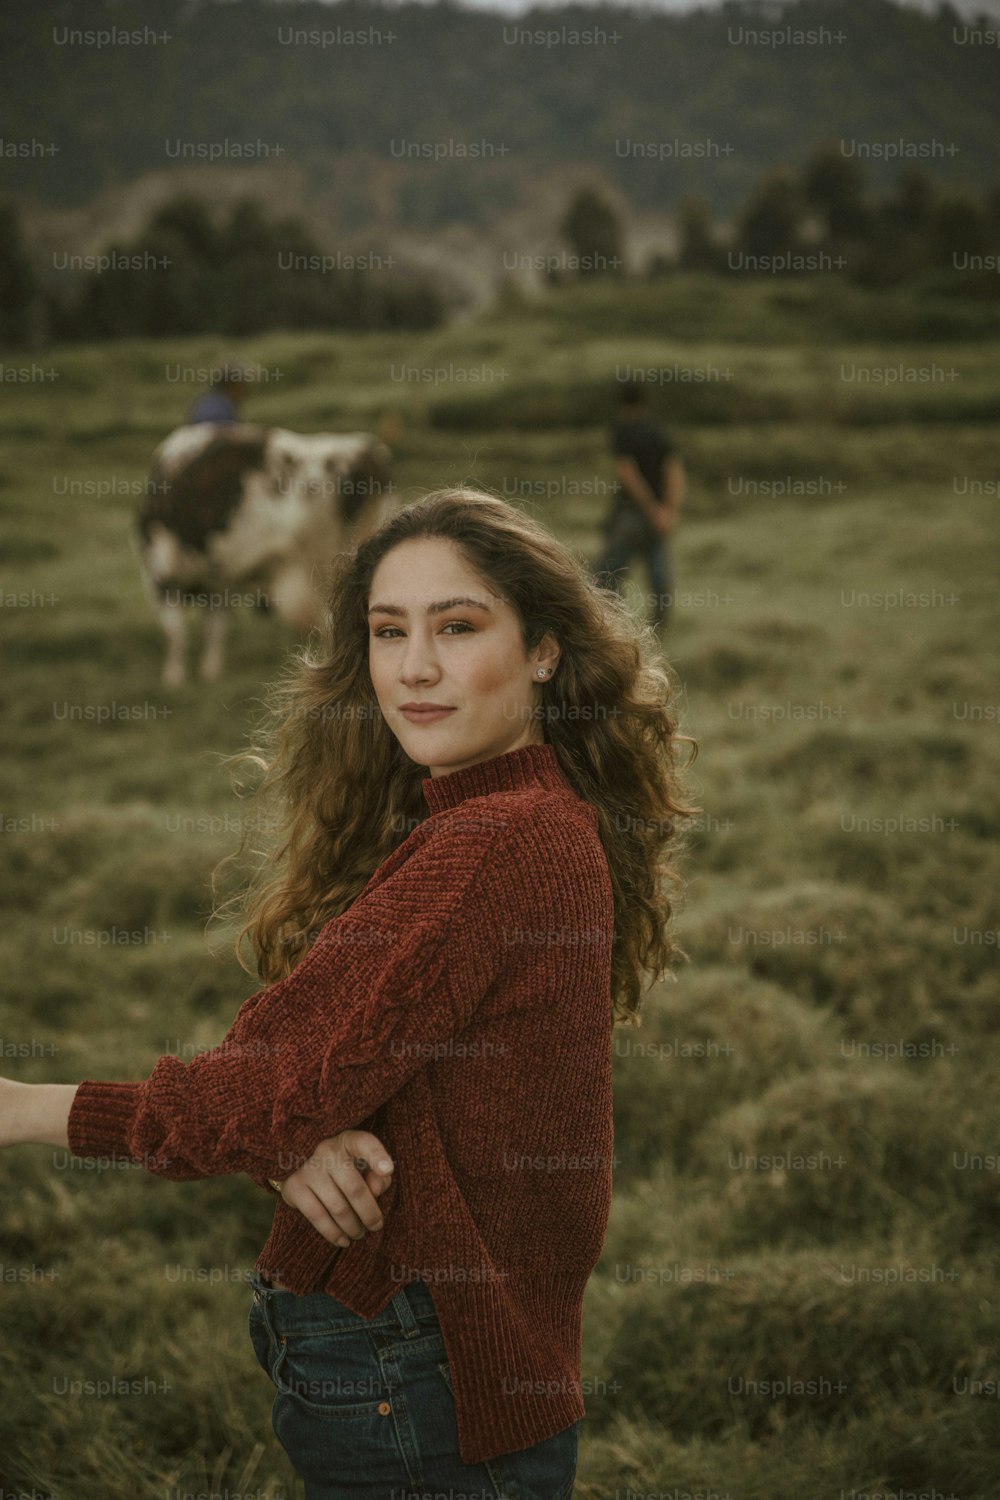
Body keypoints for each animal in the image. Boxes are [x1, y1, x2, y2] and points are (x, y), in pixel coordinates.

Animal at [137, 417, 395, 687]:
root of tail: (365, 453)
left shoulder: (162, 577)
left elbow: (175, 633)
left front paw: (173, 677)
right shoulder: (218, 585)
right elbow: (213, 629)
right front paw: (210, 671)